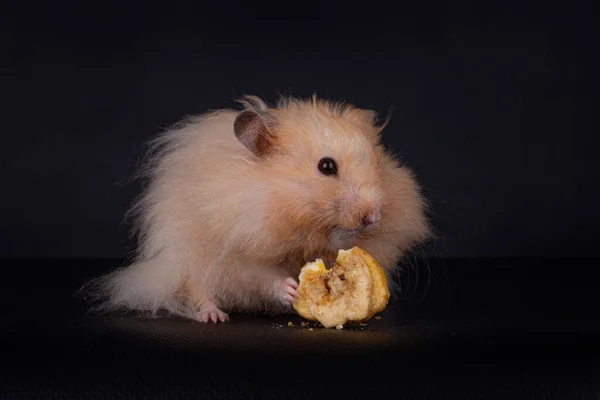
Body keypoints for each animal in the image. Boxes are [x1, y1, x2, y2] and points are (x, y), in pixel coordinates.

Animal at [83, 95, 432, 324]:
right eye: (326, 166)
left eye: (378, 163)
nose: (373, 217)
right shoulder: (237, 252)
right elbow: (260, 276)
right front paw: (291, 289)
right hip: (186, 256)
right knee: (195, 287)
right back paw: (214, 316)